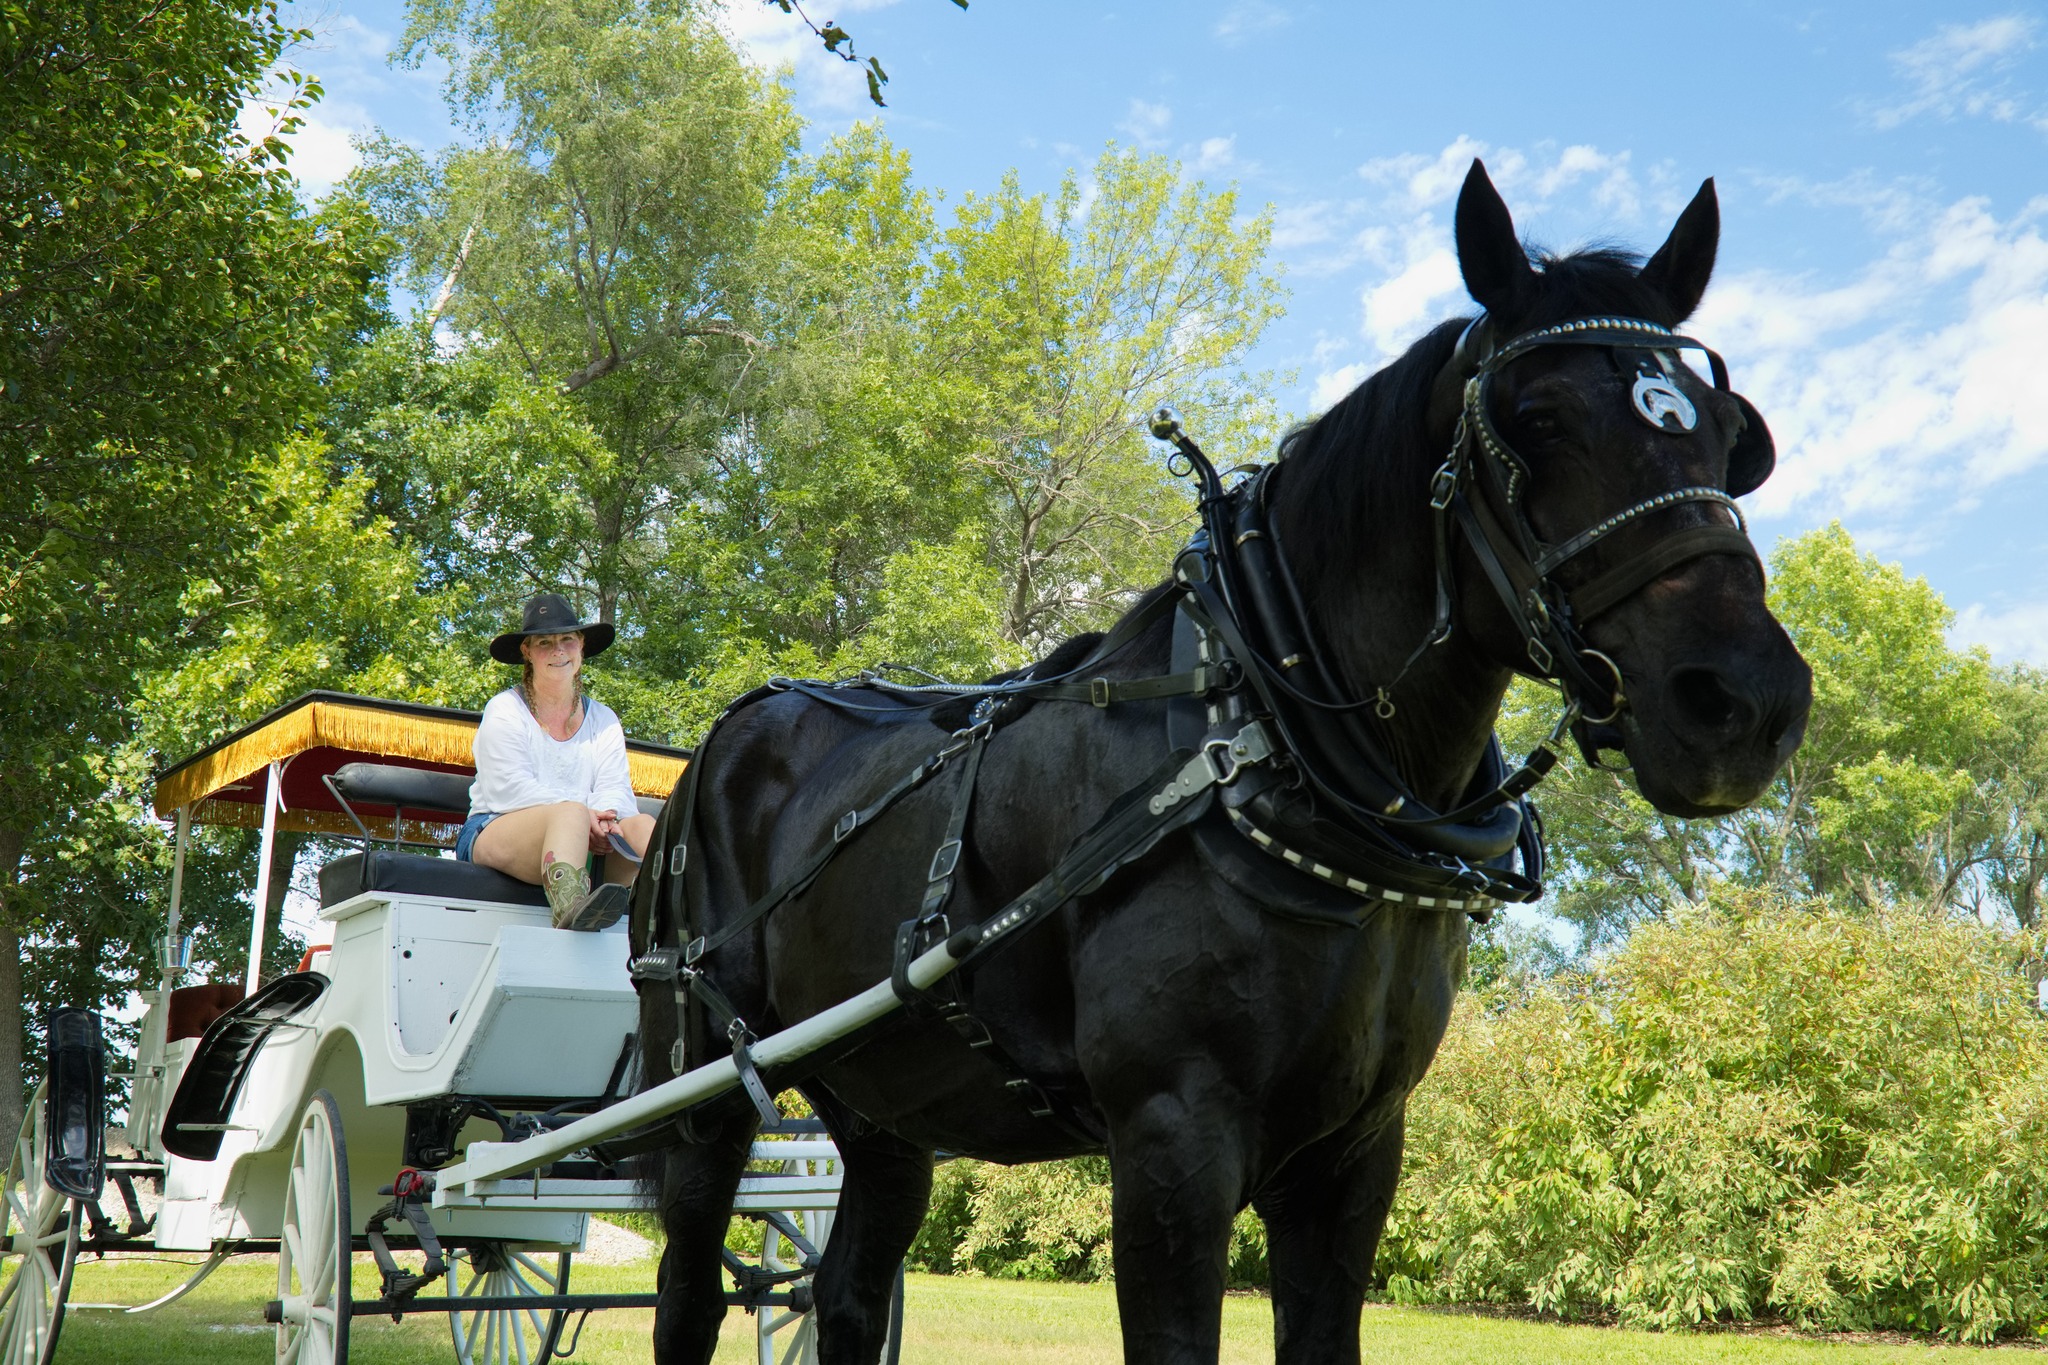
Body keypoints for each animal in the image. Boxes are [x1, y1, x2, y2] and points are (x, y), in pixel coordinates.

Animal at [622, 162, 1810, 1365]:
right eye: (1536, 420)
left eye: (1729, 436)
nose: (1744, 701)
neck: (1267, 750)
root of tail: (723, 737)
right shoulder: (1170, 1140)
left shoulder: (1353, 1151)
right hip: (702, 1085)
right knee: (688, 1289)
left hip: (884, 1101)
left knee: (849, 1294)